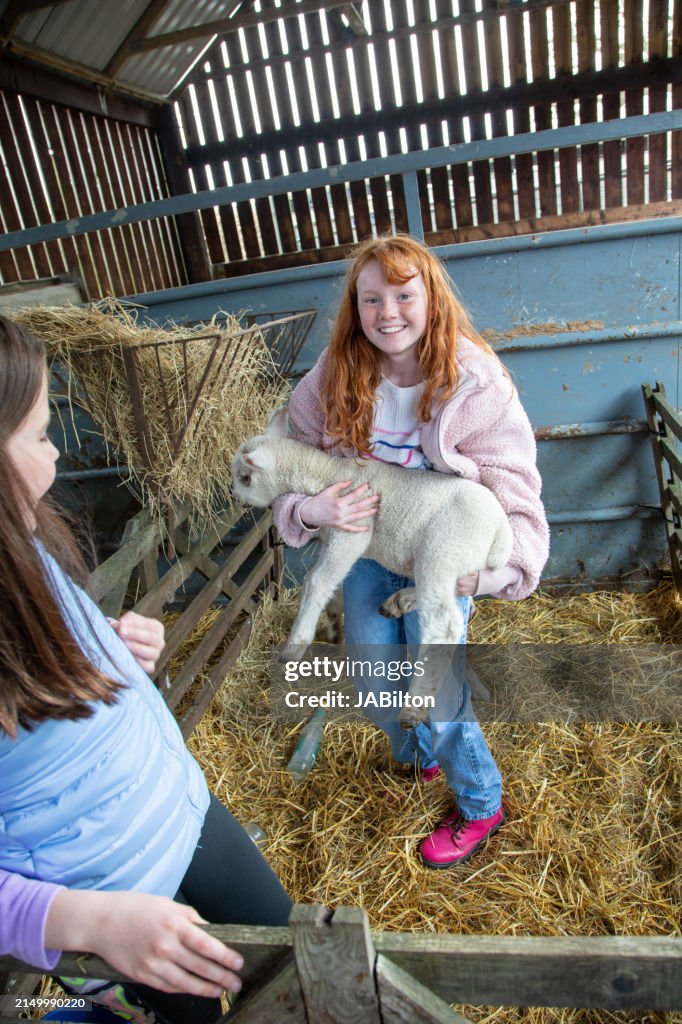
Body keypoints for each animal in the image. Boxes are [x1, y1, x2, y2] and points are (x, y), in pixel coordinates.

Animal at [232, 432, 512, 720]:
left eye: (245, 477)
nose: (235, 498)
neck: (332, 474)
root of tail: (502, 533)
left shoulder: (352, 532)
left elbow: (317, 581)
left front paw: (294, 646)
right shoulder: (332, 538)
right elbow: (325, 581)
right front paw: (334, 626)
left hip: (444, 551)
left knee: (445, 622)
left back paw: (415, 705)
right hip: (452, 563)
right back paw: (399, 602)